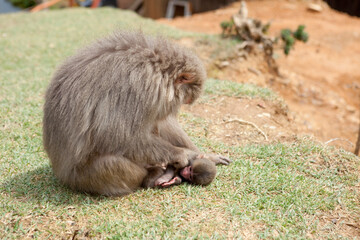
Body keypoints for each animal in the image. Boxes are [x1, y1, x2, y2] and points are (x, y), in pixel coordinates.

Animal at [42, 31, 231, 196]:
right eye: (185, 100)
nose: (180, 105)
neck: (157, 68)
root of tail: (62, 176)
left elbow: (160, 122)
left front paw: (202, 155)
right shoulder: (140, 88)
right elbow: (118, 136)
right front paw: (183, 154)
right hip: (86, 178)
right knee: (111, 161)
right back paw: (153, 176)